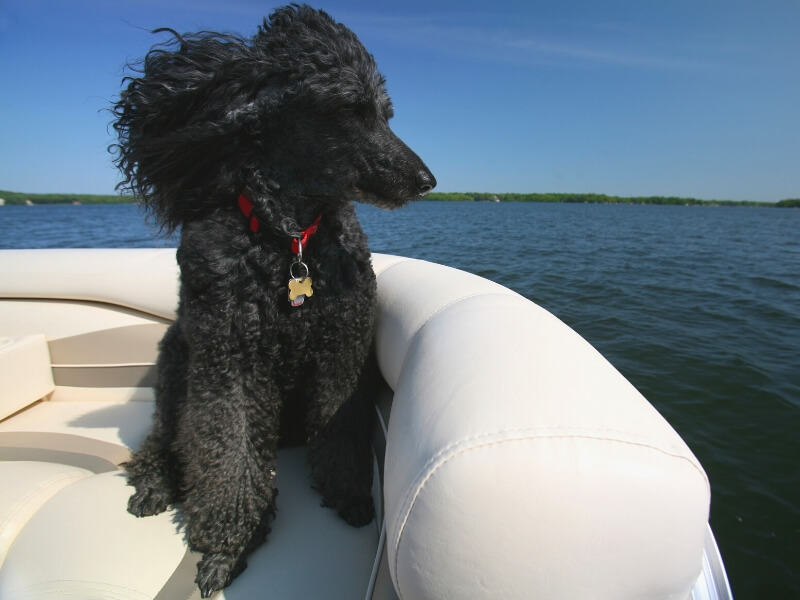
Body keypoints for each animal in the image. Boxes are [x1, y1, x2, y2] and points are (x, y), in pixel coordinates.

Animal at [110, 5, 434, 596]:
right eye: (349, 109)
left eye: (386, 114)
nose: (426, 180)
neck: (290, 240)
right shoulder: (228, 363)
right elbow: (230, 457)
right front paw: (230, 545)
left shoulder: (342, 348)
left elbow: (339, 429)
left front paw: (347, 494)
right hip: (175, 364)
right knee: (165, 438)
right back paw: (155, 484)